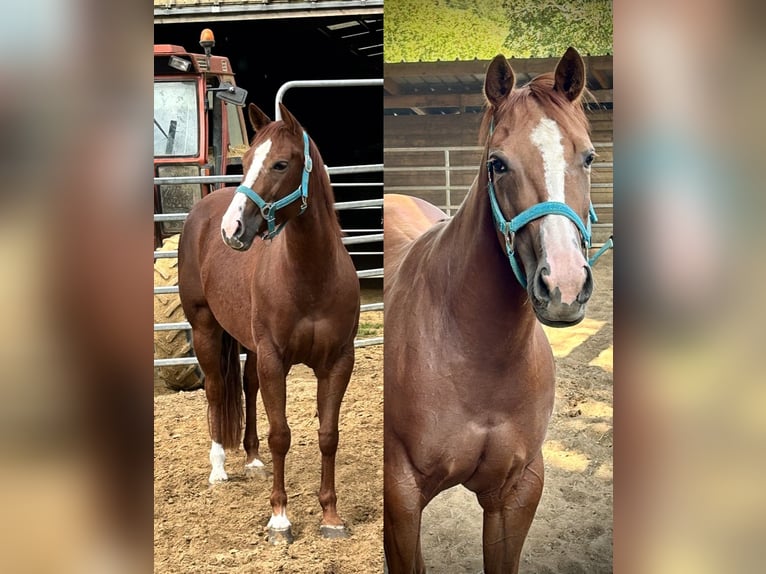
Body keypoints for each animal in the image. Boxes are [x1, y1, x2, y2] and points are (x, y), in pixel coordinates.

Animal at [178, 102, 362, 544]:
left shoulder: (337, 363)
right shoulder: (274, 359)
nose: (232, 229)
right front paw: (280, 518)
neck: (310, 276)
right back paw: (219, 469)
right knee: (214, 390)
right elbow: (282, 435)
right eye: (244, 163)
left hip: (248, 343)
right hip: (206, 328)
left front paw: (331, 516)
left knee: (247, 386)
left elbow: (328, 435)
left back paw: (252, 459)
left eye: (280, 163)